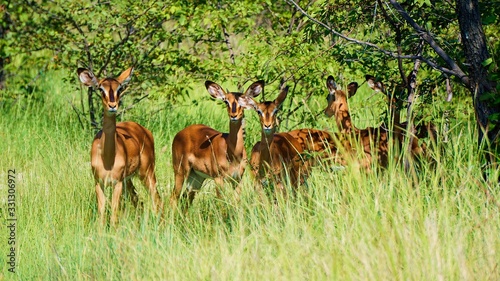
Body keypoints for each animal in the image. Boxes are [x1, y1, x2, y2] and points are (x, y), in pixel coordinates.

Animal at [77, 66, 162, 225]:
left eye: (120, 88)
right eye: (100, 88)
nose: (112, 106)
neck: (107, 158)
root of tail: (143, 130)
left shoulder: (117, 183)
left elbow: (114, 215)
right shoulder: (99, 182)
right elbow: (102, 213)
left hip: (146, 173)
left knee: (157, 199)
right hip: (129, 181)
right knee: (138, 201)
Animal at [170, 80, 264, 209]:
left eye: (242, 101)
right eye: (226, 100)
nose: (233, 115)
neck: (233, 154)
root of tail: (180, 133)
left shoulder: (237, 179)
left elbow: (236, 202)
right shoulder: (219, 179)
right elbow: (221, 204)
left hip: (196, 177)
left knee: (186, 198)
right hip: (180, 171)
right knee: (174, 197)